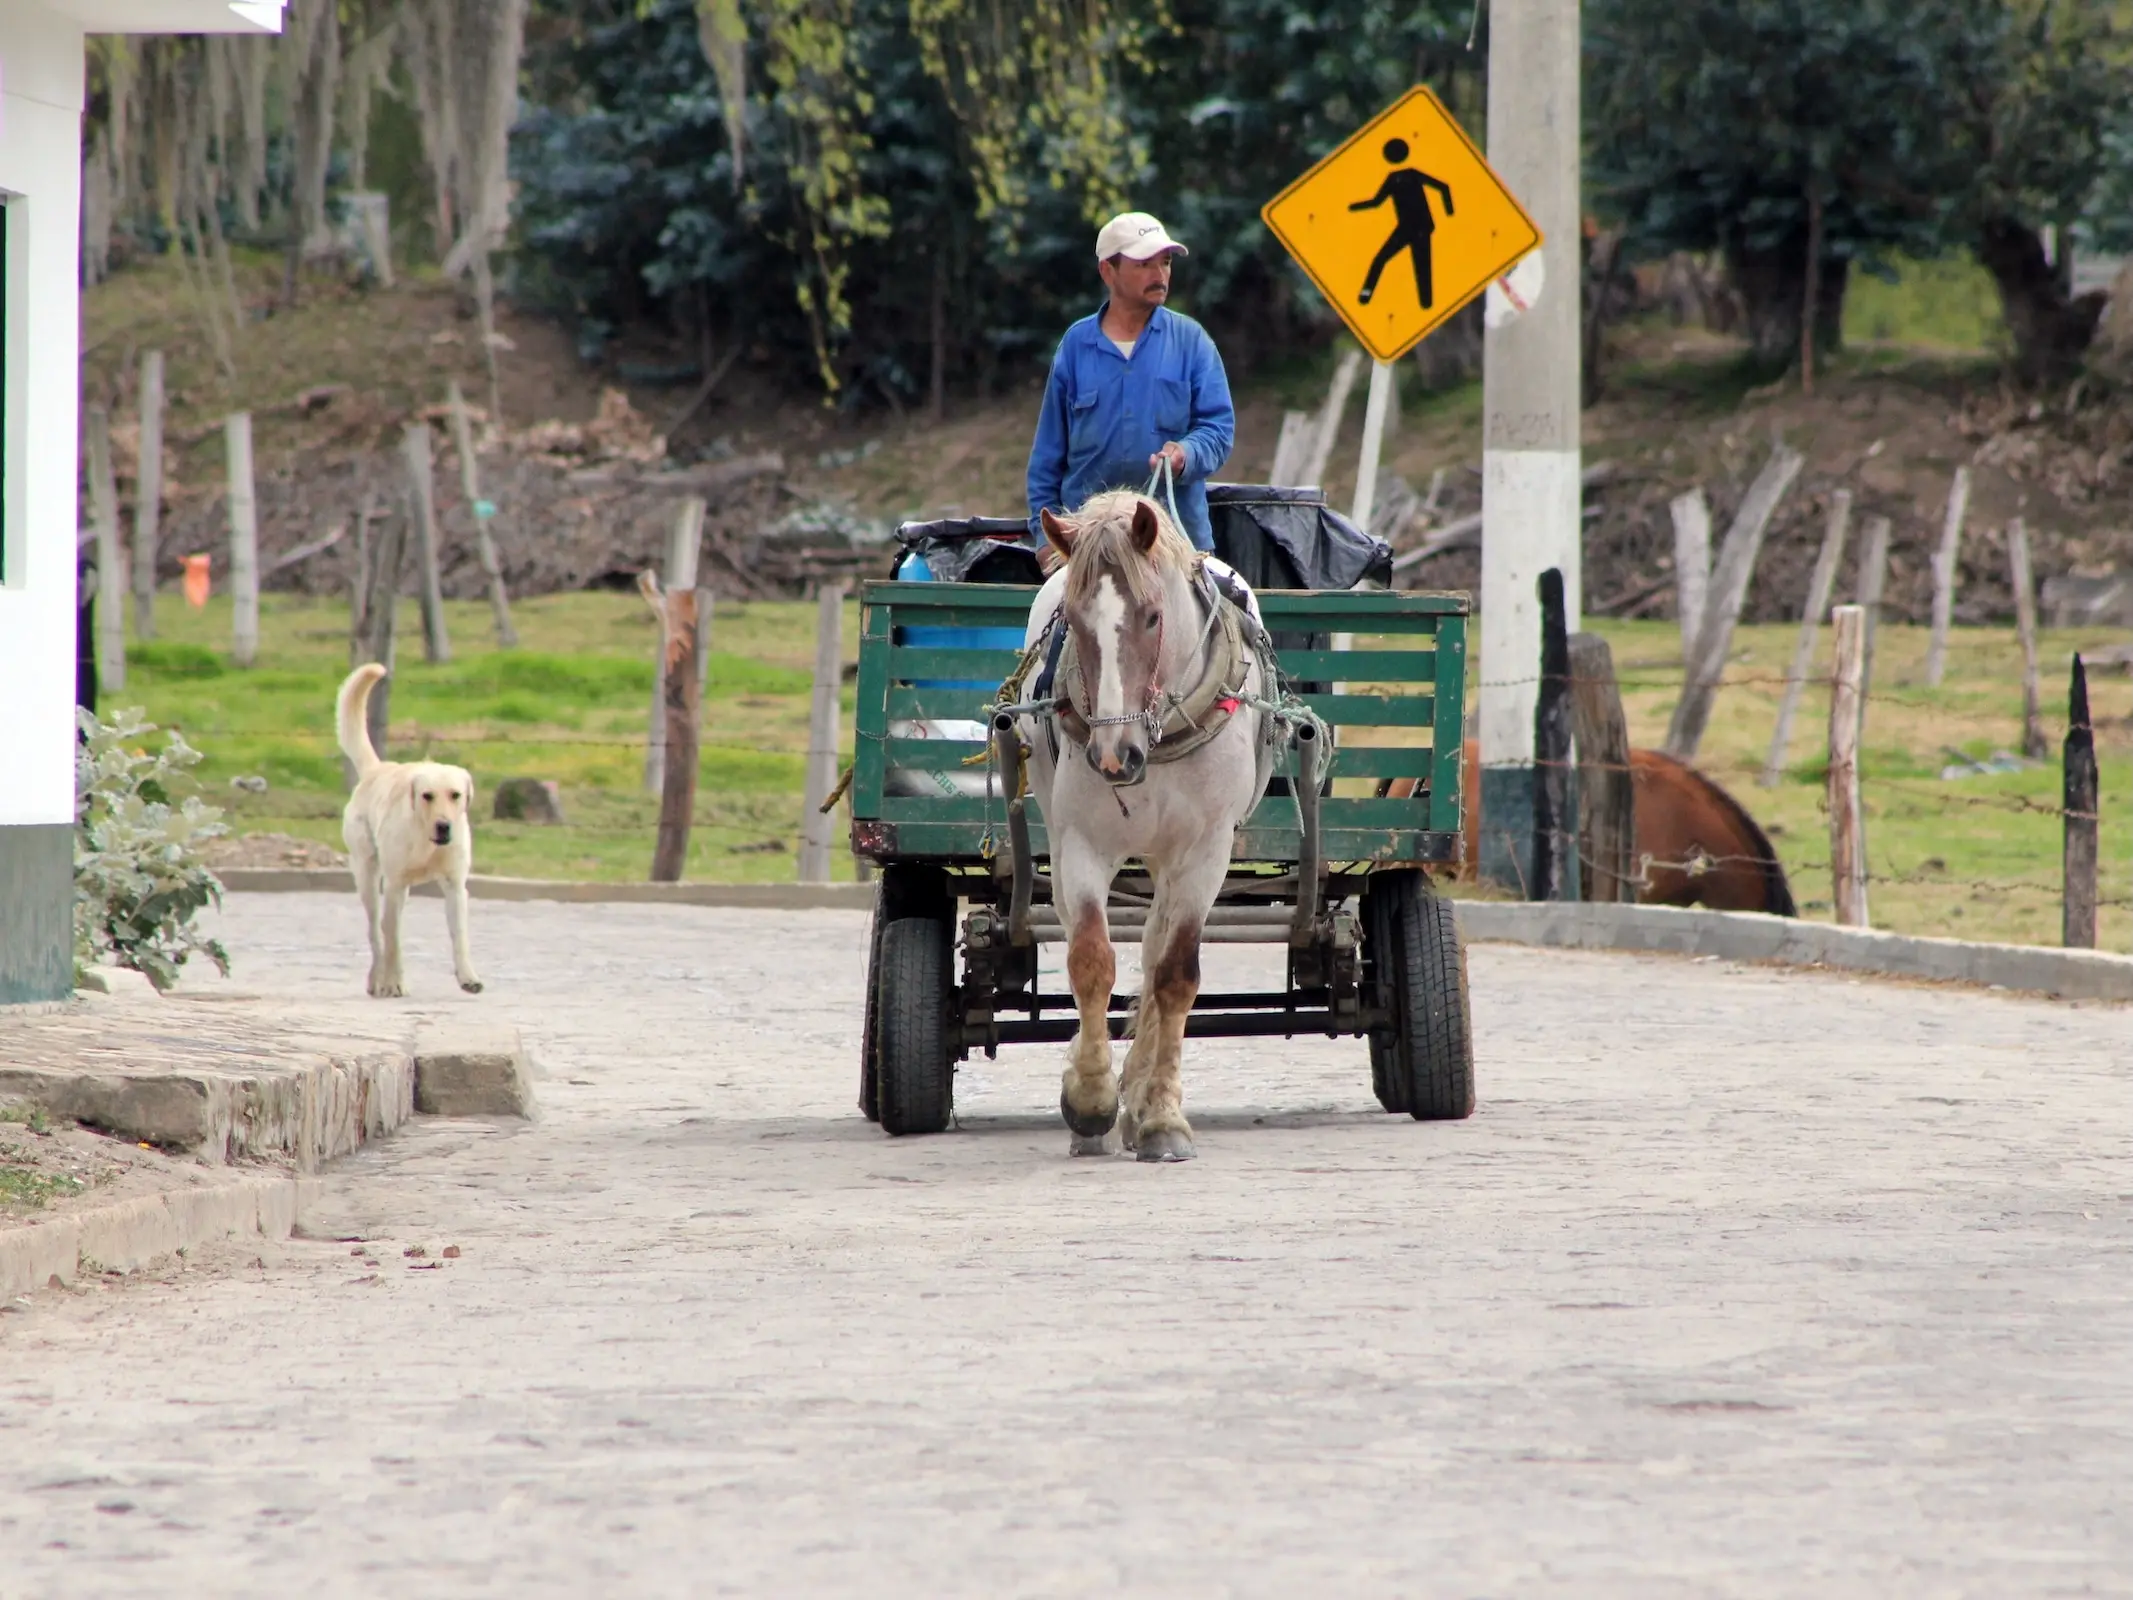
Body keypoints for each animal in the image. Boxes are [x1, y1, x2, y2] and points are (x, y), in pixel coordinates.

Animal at [1022, 490, 1270, 1163]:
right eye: (1075, 621)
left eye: (1153, 617)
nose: (1114, 757)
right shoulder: (1083, 844)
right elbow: (1090, 960)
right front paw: (1089, 1099)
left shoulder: (1206, 852)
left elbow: (1175, 973)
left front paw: (1159, 1115)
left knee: (1158, 950)